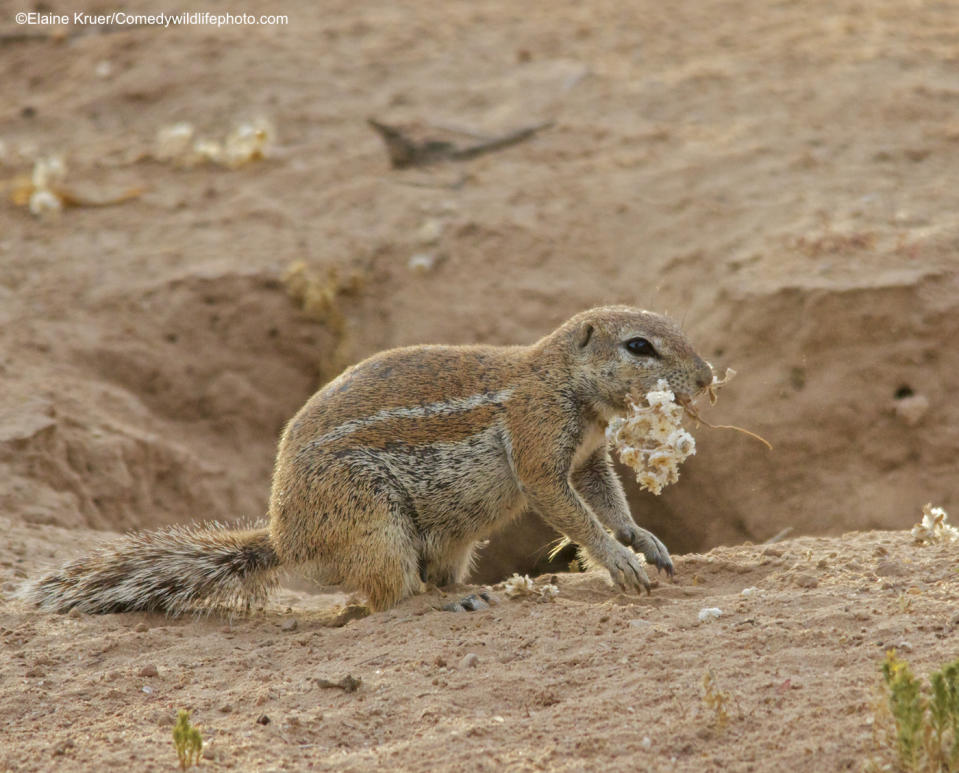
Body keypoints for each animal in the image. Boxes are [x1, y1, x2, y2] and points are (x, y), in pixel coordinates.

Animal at [26, 308, 716, 616]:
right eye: (639, 346)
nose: (708, 376)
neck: (562, 379)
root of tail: (285, 539)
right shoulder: (538, 442)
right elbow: (567, 508)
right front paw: (619, 562)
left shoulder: (589, 457)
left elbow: (606, 499)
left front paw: (644, 540)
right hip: (373, 521)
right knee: (385, 598)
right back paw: (439, 604)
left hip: (443, 541)